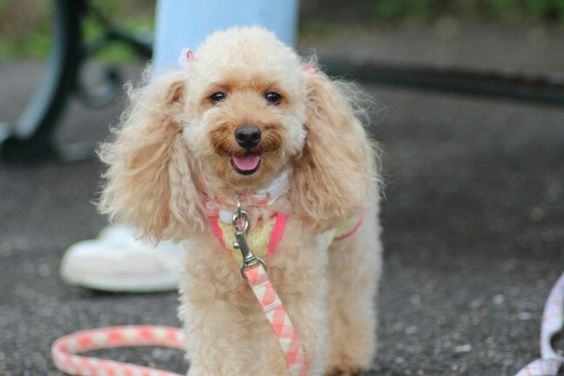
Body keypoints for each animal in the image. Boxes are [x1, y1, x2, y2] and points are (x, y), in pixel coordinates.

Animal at [100, 27, 384, 376]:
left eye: (273, 96)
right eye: (217, 96)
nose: (248, 133)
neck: (245, 206)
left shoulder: (291, 293)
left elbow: (284, 352)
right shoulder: (213, 294)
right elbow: (220, 353)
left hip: (352, 245)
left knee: (349, 298)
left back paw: (346, 358)